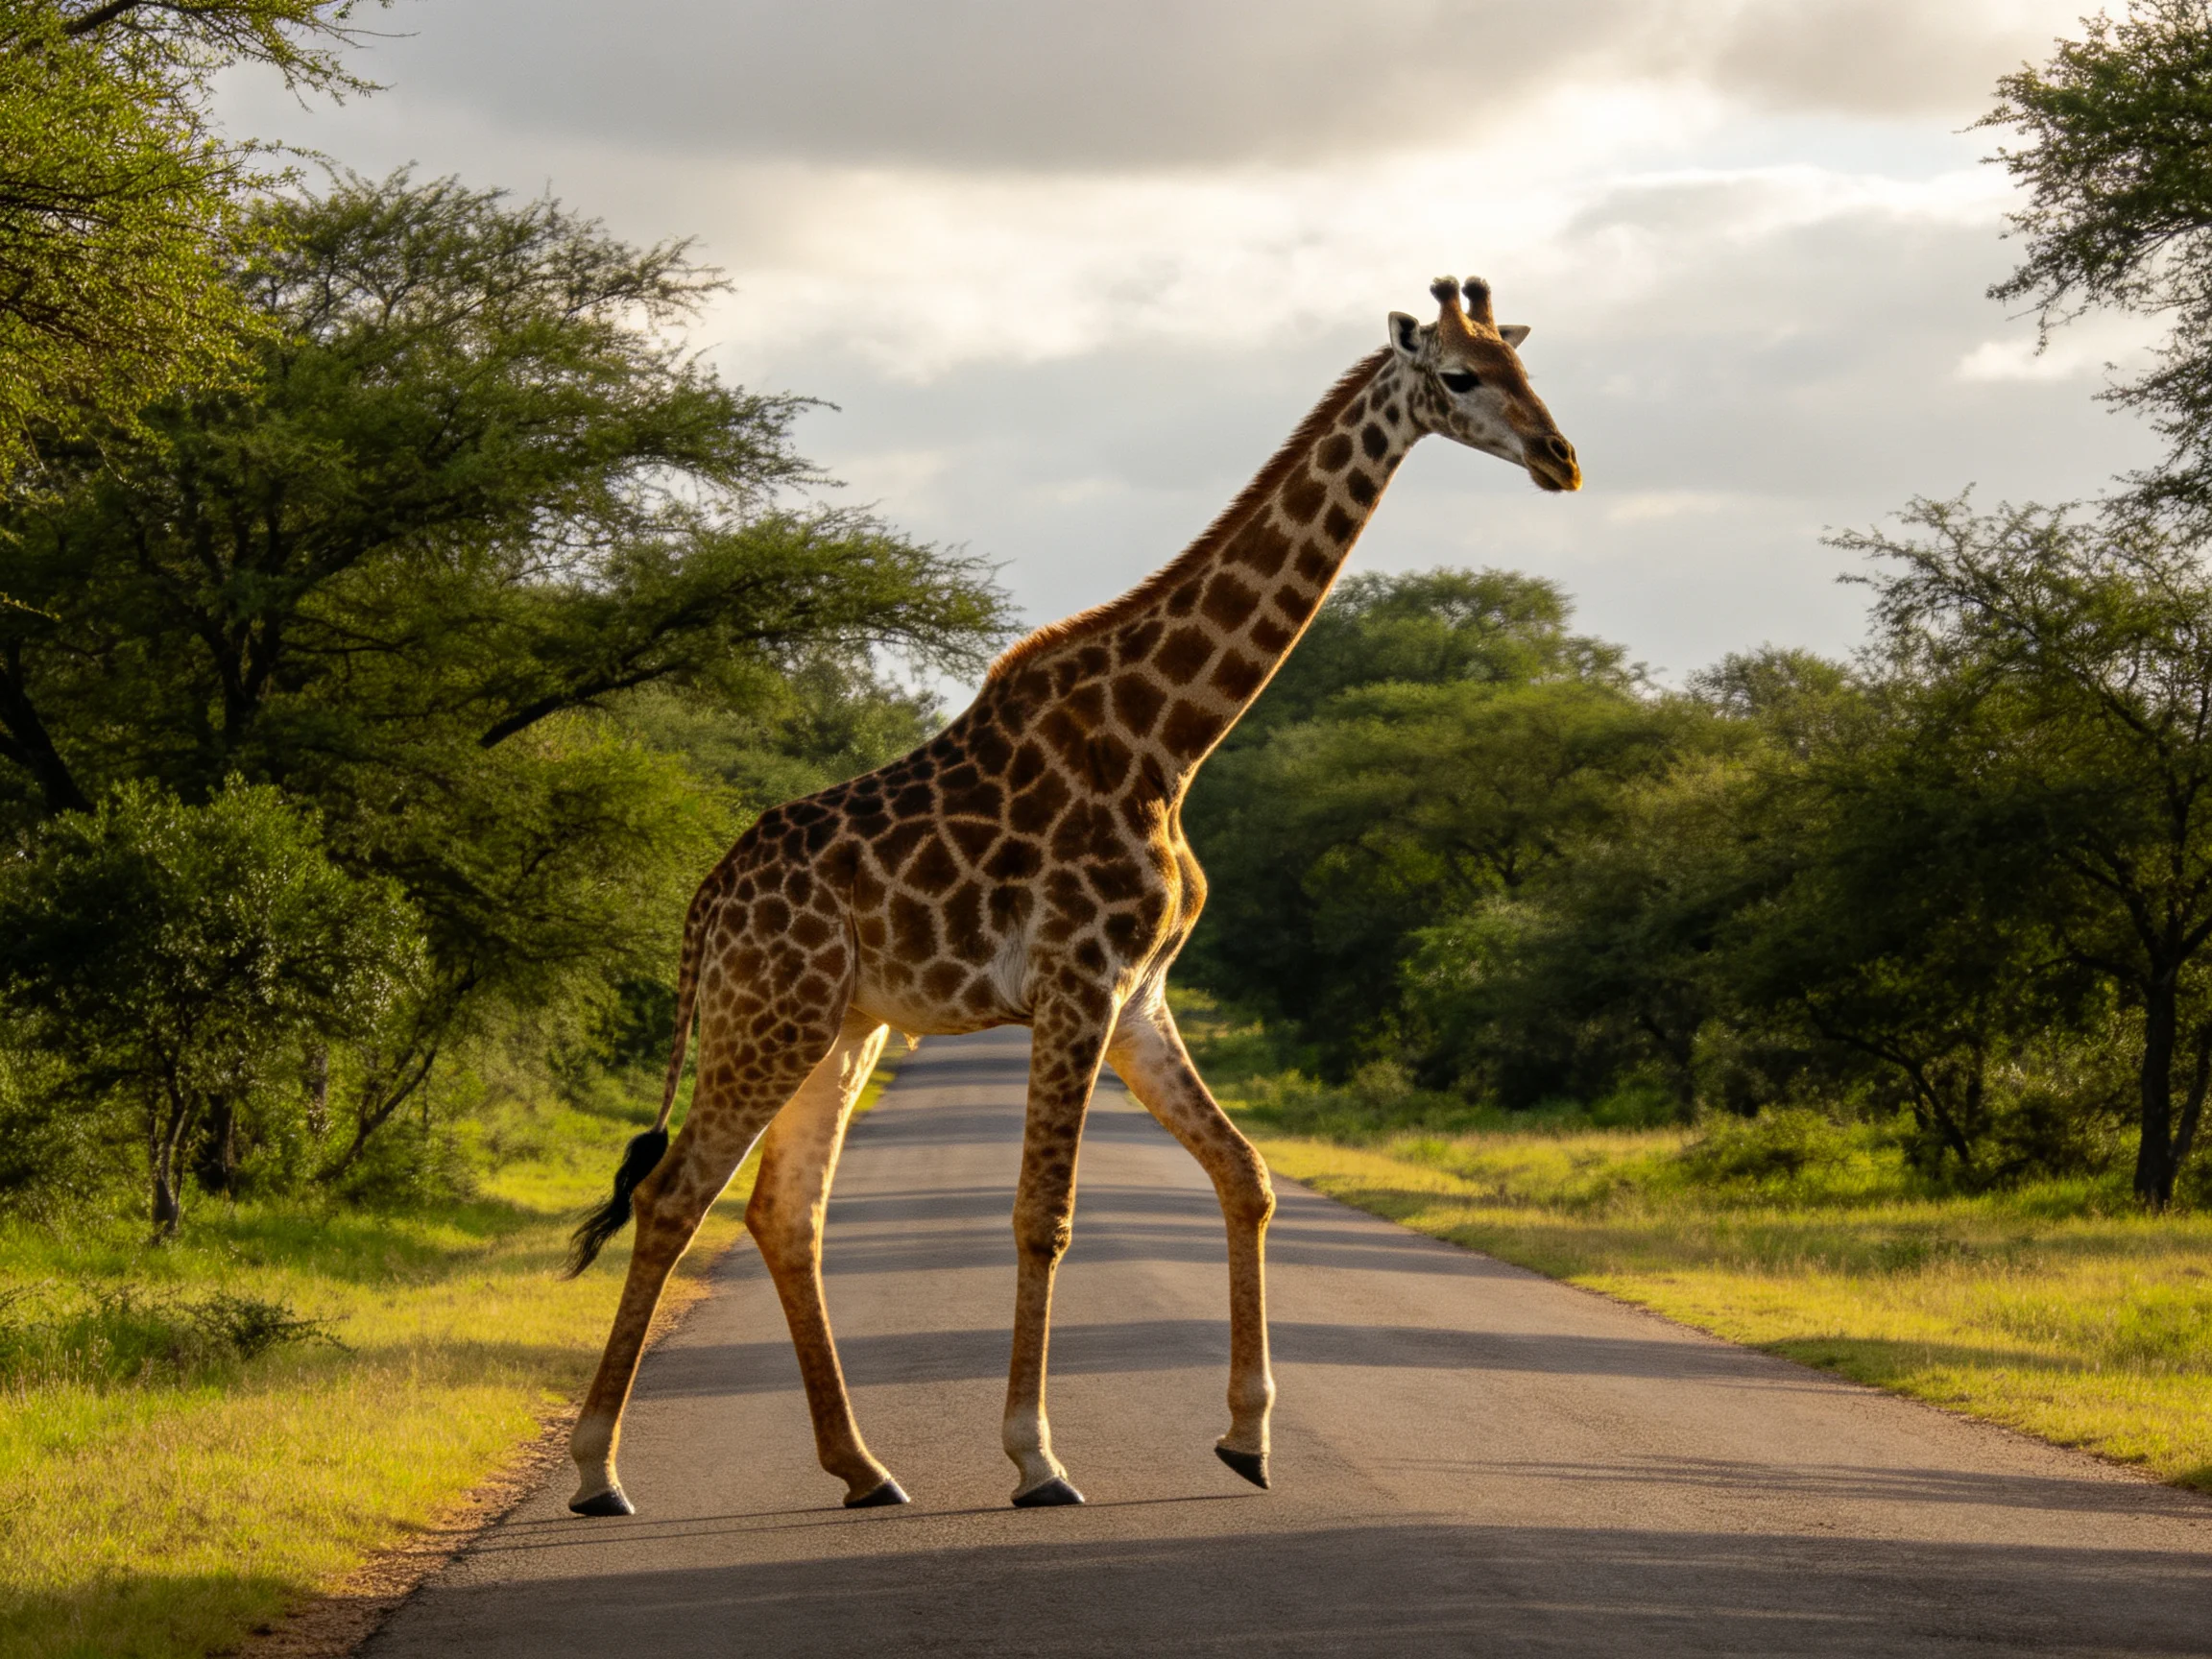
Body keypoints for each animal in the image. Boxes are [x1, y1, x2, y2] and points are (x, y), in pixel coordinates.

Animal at [563, 275, 1581, 1516]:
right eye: (1459, 376)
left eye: (1528, 369)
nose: (1561, 459)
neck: (1166, 738)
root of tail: (704, 910)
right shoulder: (1077, 981)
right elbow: (1042, 1217)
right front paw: (1037, 1457)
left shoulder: (1140, 996)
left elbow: (1246, 1176)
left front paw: (1249, 1437)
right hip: (773, 1017)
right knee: (675, 1199)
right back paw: (599, 1470)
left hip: (842, 1027)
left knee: (782, 1212)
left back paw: (865, 1467)